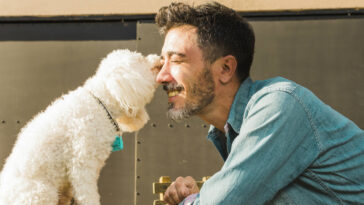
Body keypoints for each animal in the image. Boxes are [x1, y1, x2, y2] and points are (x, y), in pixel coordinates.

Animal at [0, 48, 159, 204]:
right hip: (41, 192)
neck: (100, 102)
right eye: (141, 59)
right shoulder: (82, 165)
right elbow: (88, 196)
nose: (158, 58)